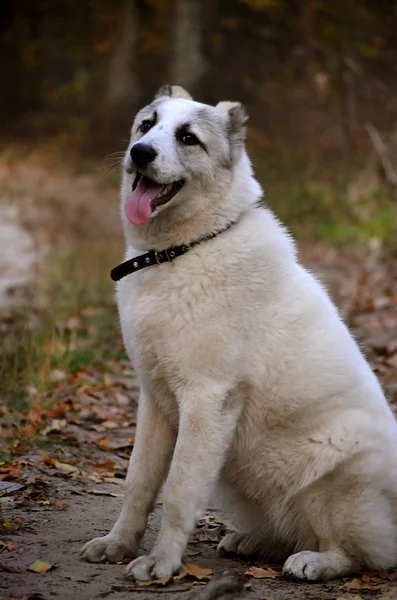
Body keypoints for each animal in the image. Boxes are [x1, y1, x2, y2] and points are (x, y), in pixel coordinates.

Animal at [80, 84, 396, 580]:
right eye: (147, 125)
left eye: (187, 138)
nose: (140, 152)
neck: (181, 251)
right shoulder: (154, 402)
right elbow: (139, 483)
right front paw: (119, 544)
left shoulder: (206, 400)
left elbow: (179, 490)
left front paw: (161, 562)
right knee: (286, 530)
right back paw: (252, 541)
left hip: (331, 472)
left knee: (363, 554)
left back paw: (314, 561)